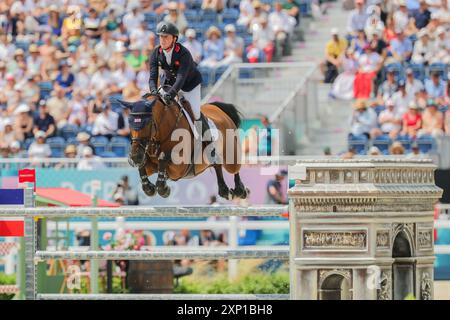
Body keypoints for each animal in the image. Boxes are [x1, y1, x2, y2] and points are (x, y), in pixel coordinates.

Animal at [117, 94, 250, 201]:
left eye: (148, 123)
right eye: (129, 123)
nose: (135, 156)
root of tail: (218, 110)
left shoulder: (179, 167)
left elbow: (163, 158)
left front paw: (164, 188)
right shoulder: (151, 166)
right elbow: (144, 167)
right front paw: (150, 187)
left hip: (231, 156)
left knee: (233, 169)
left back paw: (239, 190)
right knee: (217, 166)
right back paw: (224, 190)